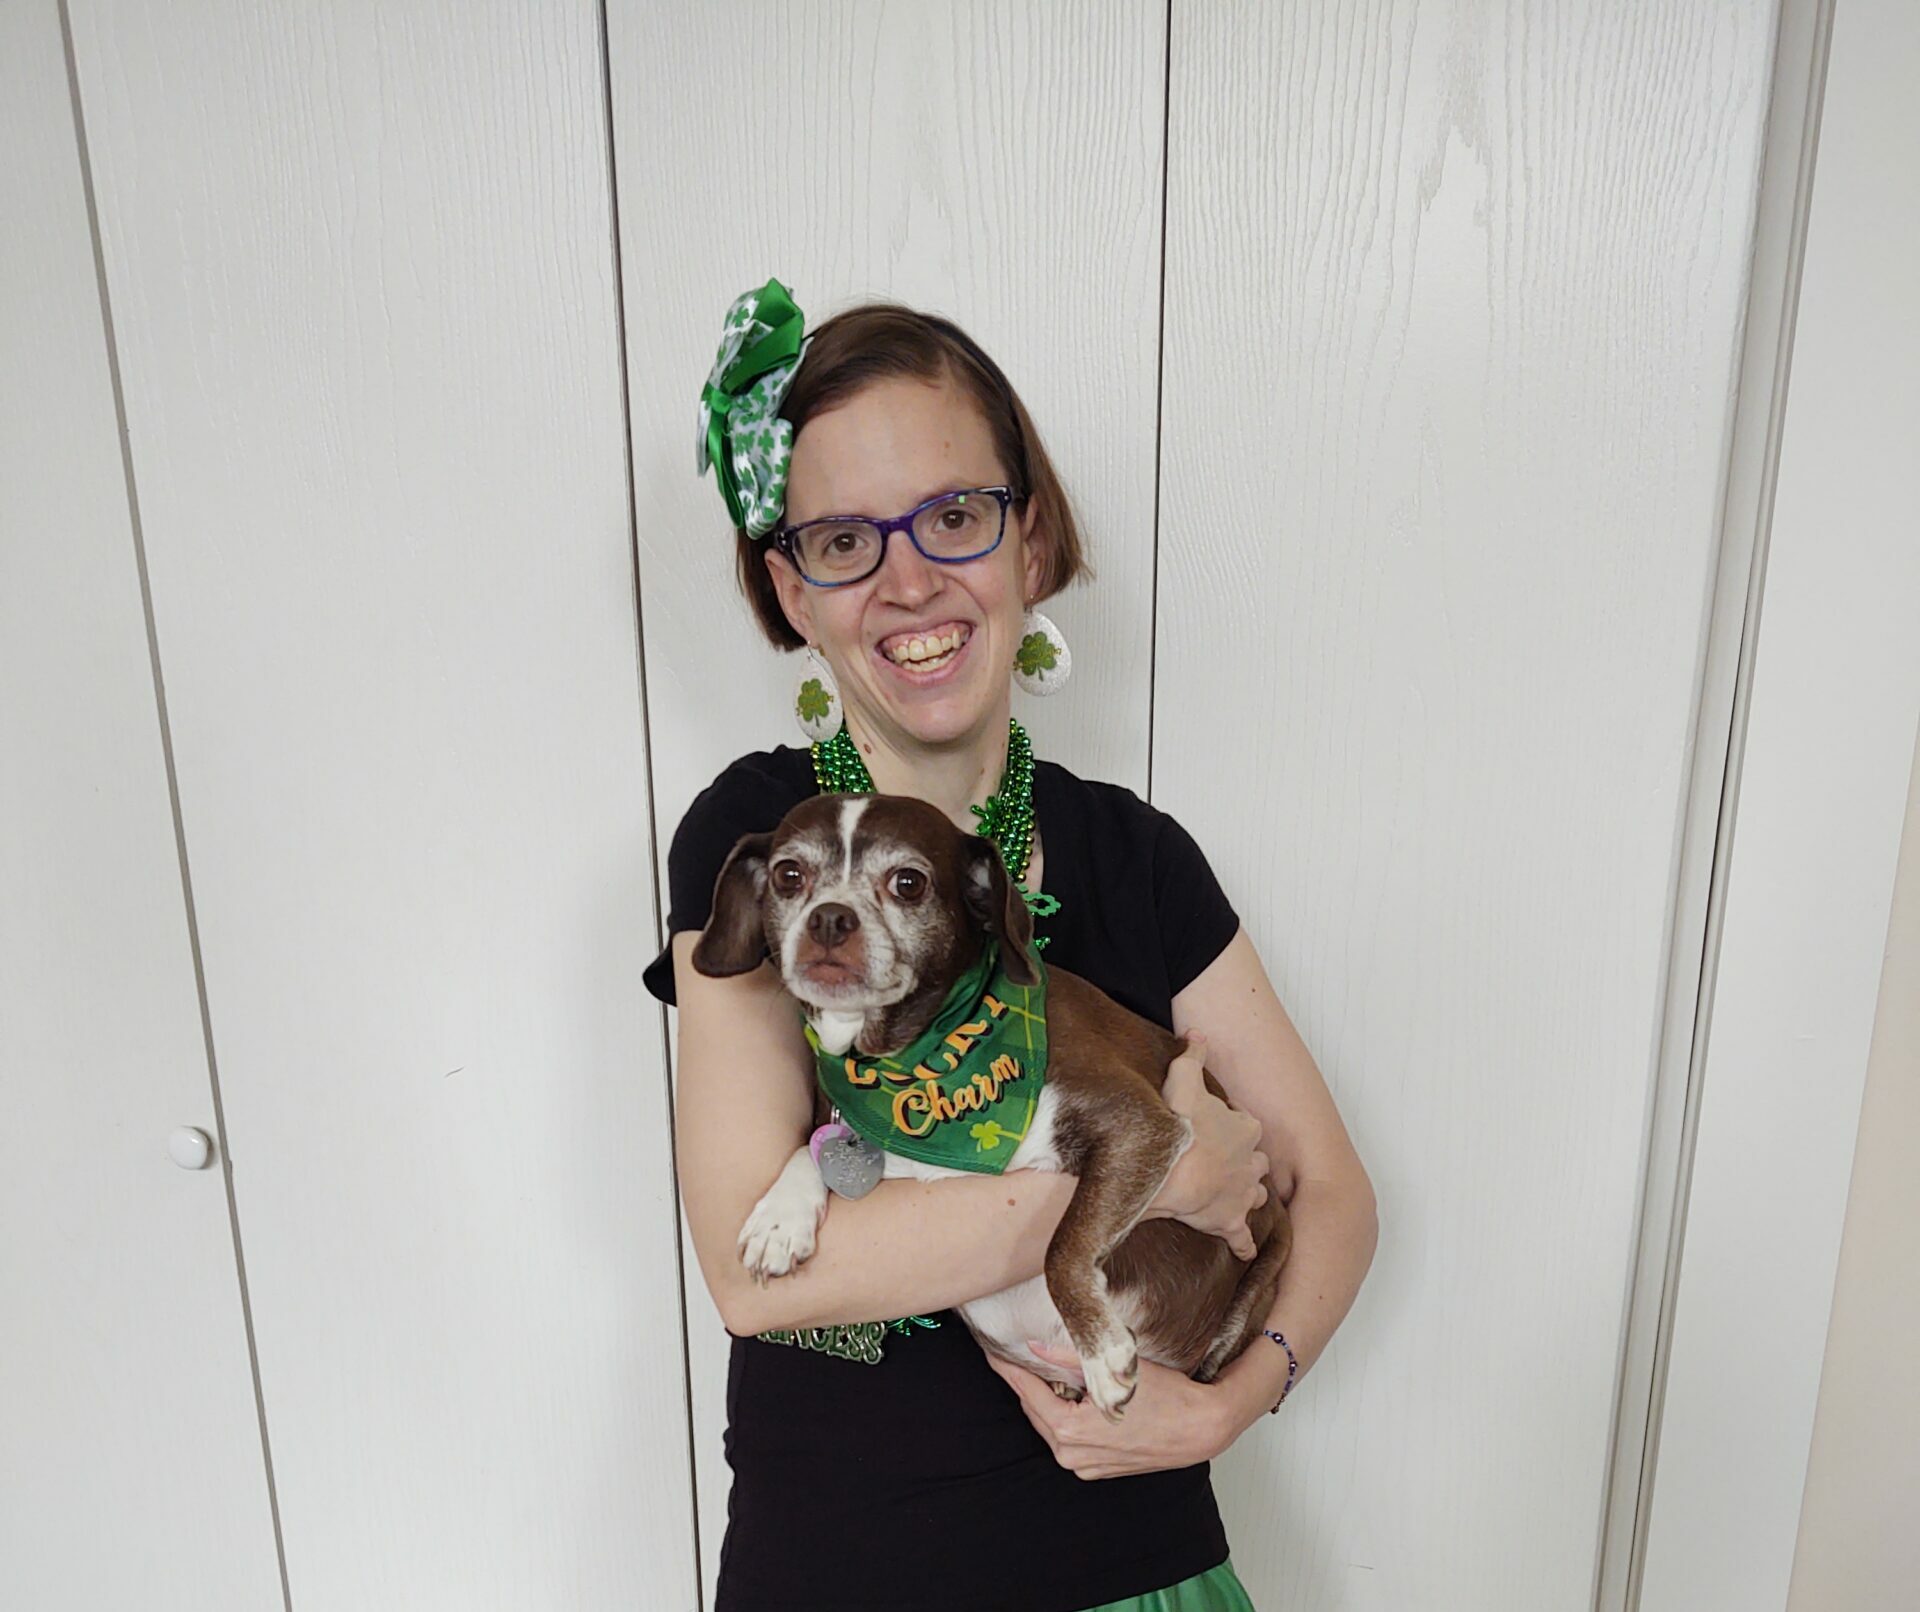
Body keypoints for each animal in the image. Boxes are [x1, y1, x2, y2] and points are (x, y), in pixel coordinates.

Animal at [691, 786, 1290, 1420]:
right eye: (788, 875)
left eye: (908, 883)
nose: (829, 917)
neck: (917, 1062)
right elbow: (809, 1146)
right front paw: (780, 1218)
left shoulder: (1140, 1124)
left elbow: (1061, 1245)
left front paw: (1101, 1351)